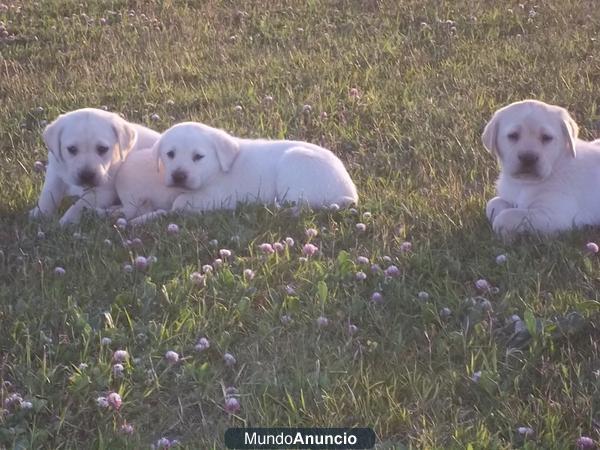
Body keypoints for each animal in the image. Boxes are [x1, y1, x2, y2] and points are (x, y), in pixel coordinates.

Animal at [29, 106, 161, 225]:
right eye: (72, 149)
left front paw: (67, 221)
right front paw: (39, 214)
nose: (86, 176)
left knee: (135, 210)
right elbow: (47, 194)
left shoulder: (103, 192)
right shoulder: (55, 171)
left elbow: (79, 205)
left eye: (102, 149)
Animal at [117, 121, 358, 223]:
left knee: (303, 205)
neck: (215, 172)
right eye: (170, 154)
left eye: (198, 157)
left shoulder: (219, 197)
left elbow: (178, 203)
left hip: (295, 164)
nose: (178, 176)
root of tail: (349, 193)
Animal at [486, 98, 600, 239]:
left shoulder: (555, 215)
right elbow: (492, 204)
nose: (528, 158)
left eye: (546, 137)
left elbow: (508, 216)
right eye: (513, 135)